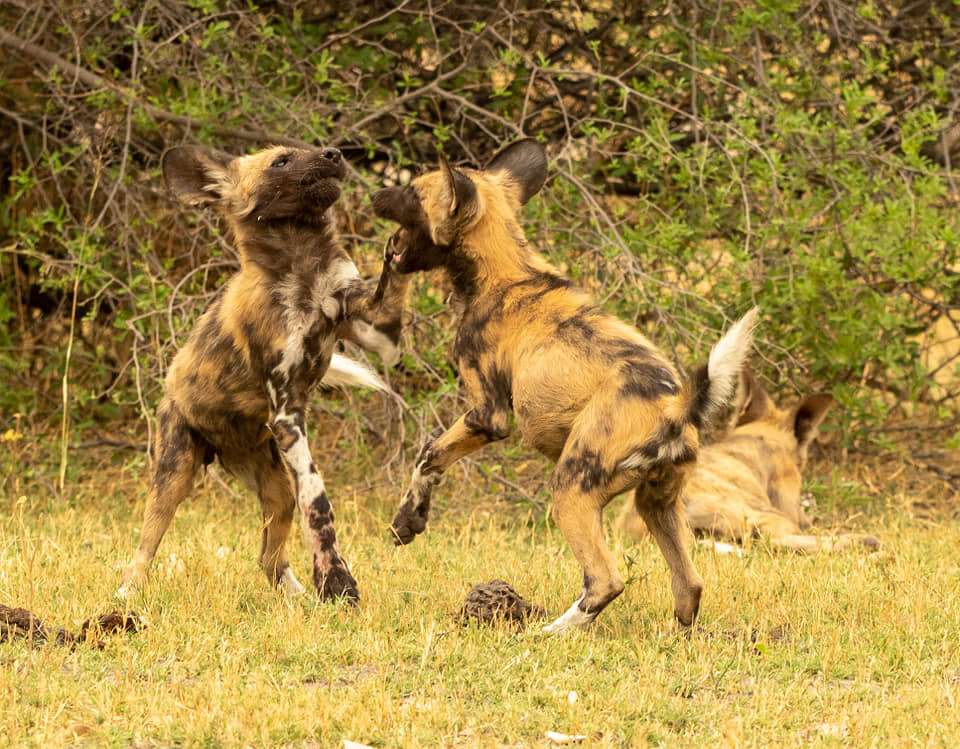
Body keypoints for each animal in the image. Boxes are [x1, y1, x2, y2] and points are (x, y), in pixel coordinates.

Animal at [118, 142, 406, 600]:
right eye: (281, 161)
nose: (334, 152)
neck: (304, 266)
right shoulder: (288, 415)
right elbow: (318, 504)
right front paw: (337, 580)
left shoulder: (376, 333)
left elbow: (387, 292)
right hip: (173, 475)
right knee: (144, 549)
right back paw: (126, 596)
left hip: (274, 485)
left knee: (269, 558)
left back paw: (297, 598)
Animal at [374, 139, 756, 632]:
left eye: (411, 193)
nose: (374, 195)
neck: (506, 273)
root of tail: (677, 406)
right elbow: (428, 460)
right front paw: (407, 521)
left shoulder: (486, 416)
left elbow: (429, 455)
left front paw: (409, 521)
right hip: (656, 504)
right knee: (688, 585)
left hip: (571, 488)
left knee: (605, 580)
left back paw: (549, 632)